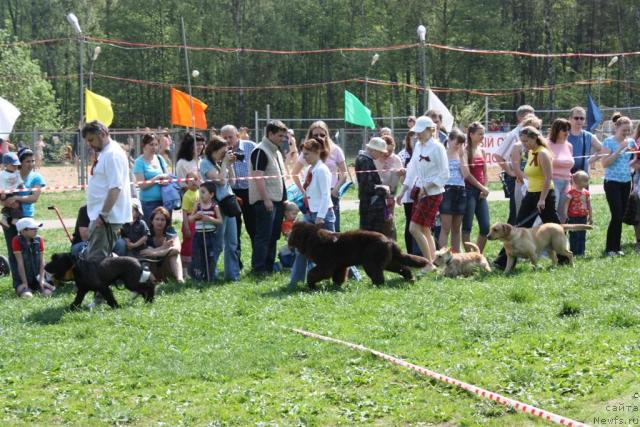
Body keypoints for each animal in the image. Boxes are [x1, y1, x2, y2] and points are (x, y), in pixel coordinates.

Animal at [288, 221, 428, 288]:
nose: (288, 242)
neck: (311, 239)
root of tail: (389, 240)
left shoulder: (326, 265)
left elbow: (313, 273)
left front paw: (311, 285)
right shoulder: (340, 266)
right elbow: (338, 276)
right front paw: (337, 285)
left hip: (371, 262)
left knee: (379, 278)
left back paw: (373, 286)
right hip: (389, 261)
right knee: (403, 268)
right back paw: (410, 279)